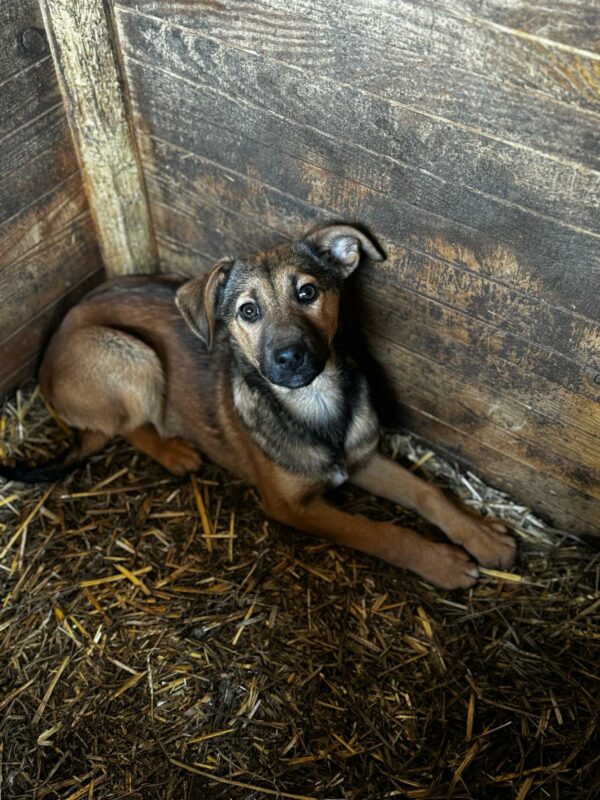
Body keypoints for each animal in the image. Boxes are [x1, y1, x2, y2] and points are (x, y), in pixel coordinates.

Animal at [1, 225, 516, 588]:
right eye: (248, 311)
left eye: (307, 292)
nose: (290, 357)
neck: (313, 404)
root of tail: (45, 361)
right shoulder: (291, 506)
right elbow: (379, 531)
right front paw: (441, 562)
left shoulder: (361, 458)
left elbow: (429, 492)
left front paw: (482, 536)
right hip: (132, 354)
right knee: (120, 427)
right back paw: (176, 453)